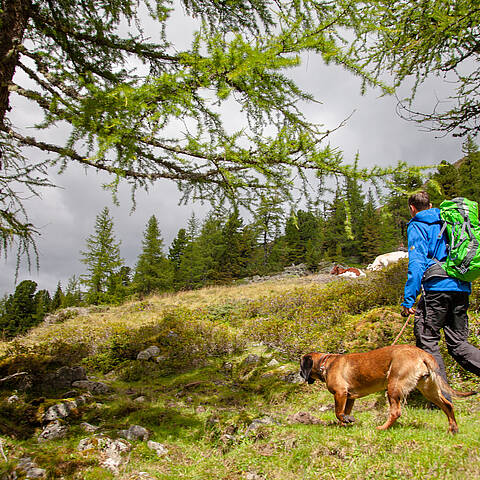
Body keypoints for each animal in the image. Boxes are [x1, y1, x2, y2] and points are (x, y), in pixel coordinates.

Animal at [300, 344, 476, 434]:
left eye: (301, 366)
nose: (300, 374)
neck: (325, 363)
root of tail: (423, 354)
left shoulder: (340, 393)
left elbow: (338, 412)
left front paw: (345, 421)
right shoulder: (349, 397)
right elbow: (344, 412)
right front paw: (345, 423)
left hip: (394, 386)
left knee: (395, 412)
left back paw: (382, 428)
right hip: (429, 389)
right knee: (448, 405)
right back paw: (453, 429)